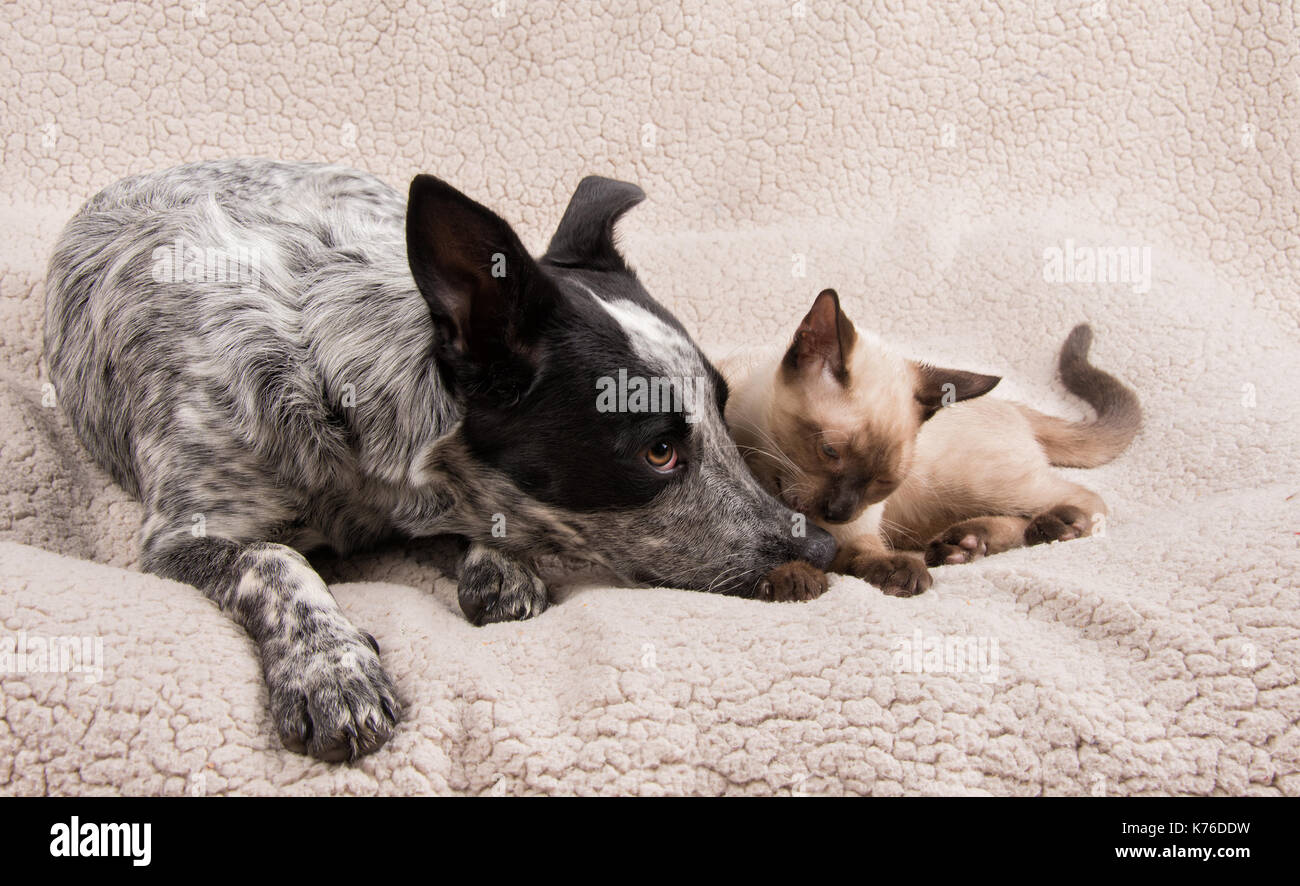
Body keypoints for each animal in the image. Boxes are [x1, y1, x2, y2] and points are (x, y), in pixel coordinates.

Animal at [45, 162, 832, 763]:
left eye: (723, 408)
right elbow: (271, 560)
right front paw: (332, 669)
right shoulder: (182, 534)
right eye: (659, 451)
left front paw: (499, 566)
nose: (821, 547)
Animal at [728, 288, 1144, 592]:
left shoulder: (856, 527)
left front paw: (898, 573)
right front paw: (790, 578)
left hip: (973, 485)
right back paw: (968, 543)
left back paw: (1047, 527)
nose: (838, 511)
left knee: (1084, 499)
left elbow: (862, 547)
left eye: (883, 483)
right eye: (829, 451)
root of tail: (1013, 404)